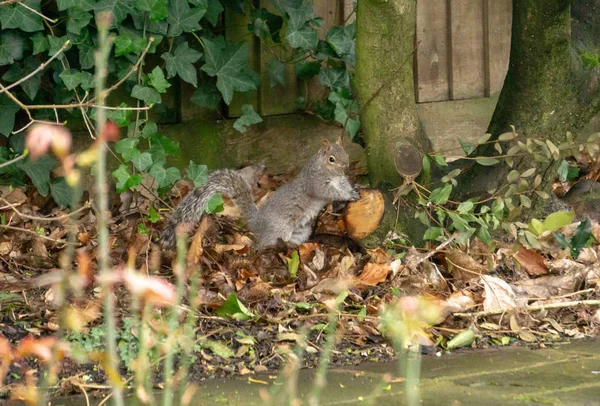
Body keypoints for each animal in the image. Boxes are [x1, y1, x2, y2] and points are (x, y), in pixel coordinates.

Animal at [157, 138, 360, 249]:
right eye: (332, 159)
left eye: (347, 154)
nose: (347, 169)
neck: (330, 173)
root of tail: (258, 222)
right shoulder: (316, 183)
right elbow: (327, 192)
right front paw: (347, 196)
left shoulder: (341, 181)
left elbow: (345, 187)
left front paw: (355, 190)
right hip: (279, 228)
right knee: (261, 246)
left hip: (301, 230)